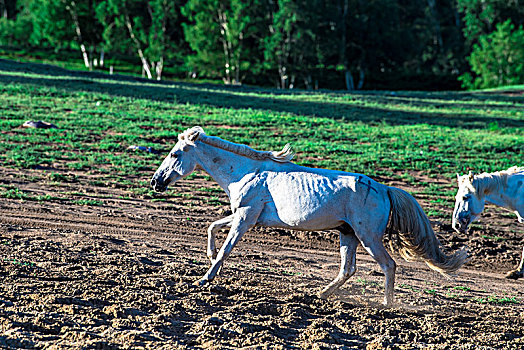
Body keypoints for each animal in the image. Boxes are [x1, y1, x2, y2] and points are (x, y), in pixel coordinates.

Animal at [151, 127, 466, 304]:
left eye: (176, 154)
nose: (156, 182)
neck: (246, 173)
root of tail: (384, 188)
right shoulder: (244, 215)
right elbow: (212, 227)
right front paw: (208, 255)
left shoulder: (245, 217)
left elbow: (227, 248)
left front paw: (204, 279)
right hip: (348, 235)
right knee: (347, 269)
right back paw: (323, 294)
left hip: (368, 237)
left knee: (388, 265)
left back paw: (387, 305)